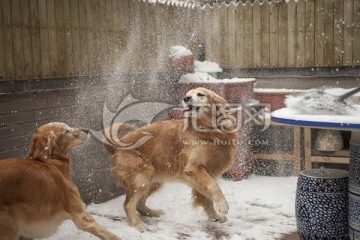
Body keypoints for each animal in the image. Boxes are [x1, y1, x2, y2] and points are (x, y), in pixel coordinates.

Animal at [105, 87, 238, 231]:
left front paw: (214, 216)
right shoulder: (193, 168)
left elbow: (206, 198)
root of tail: (117, 146)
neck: (207, 131)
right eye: (187, 94)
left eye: (200, 94)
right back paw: (138, 224)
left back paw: (153, 213)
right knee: (128, 205)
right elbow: (214, 187)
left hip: (153, 180)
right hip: (142, 177)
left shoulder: (209, 173)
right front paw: (223, 206)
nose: (186, 98)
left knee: (139, 204)